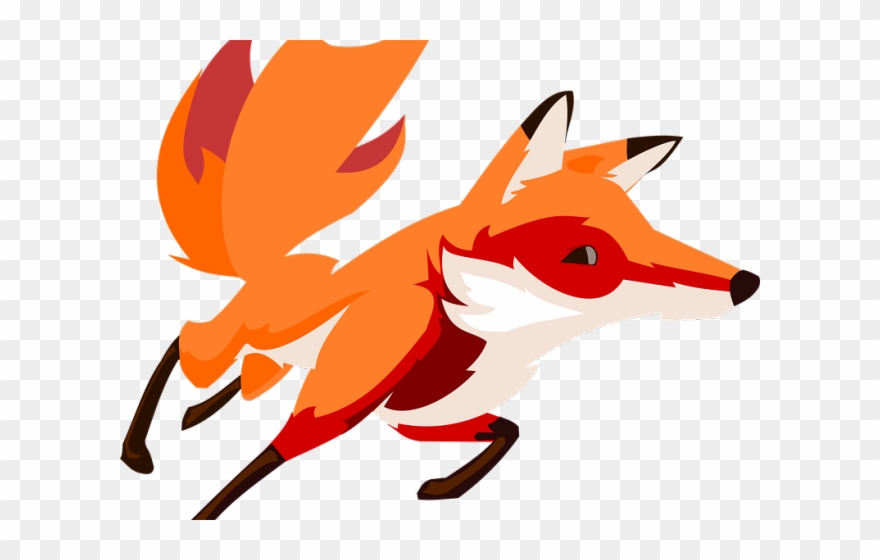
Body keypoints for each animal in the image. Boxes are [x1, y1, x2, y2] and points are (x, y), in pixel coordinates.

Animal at [120, 40, 760, 520]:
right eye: (584, 255)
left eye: (647, 229)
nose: (744, 283)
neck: (481, 338)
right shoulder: (357, 380)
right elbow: (266, 461)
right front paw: (202, 521)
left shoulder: (413, 418)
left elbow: (507, 430)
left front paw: (443, 489)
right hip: (246, 339)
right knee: (183, 338)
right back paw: (138, 451)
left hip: (270, 357)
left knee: (224, 366)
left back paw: (196, 414)